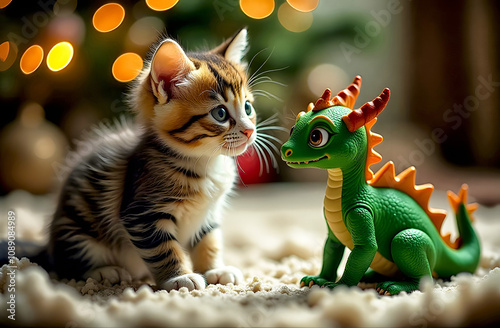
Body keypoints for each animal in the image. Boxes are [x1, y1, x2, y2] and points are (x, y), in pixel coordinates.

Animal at [48, 28, 256, 290]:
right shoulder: (143, 213)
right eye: (220, 113)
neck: (205, 162)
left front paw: (215, 270)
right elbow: (164, 249)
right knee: (66, 264)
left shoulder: (208, 215)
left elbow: (209, 241)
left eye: (248, 108)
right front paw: (179, 277)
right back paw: (104, 272)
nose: (250, 130)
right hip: (77, 230)